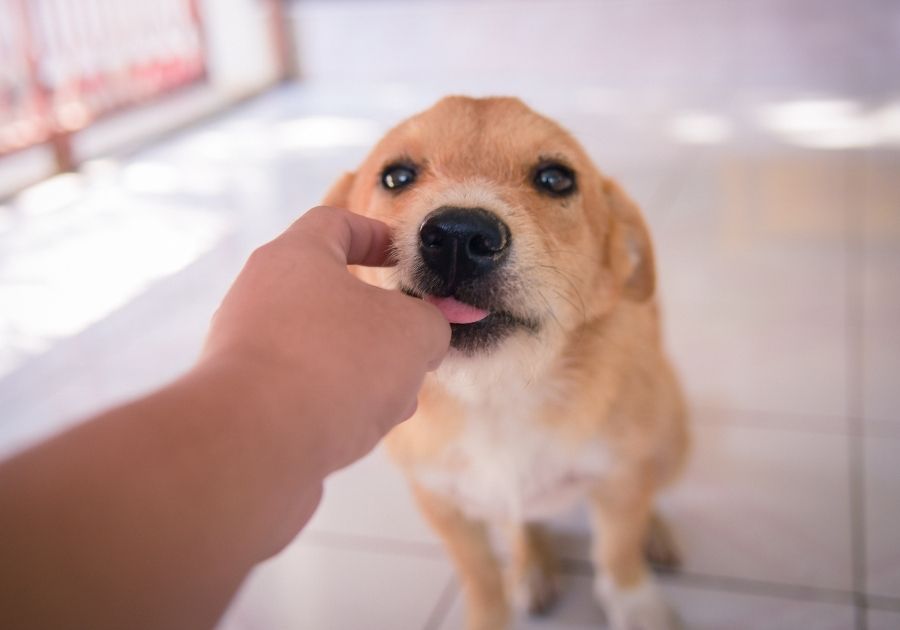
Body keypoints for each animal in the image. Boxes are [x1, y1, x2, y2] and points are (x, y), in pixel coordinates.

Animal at [324, 95, 688, 630]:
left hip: (675, 438)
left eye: (556, 178)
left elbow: (618, 551)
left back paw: (656, 531)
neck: (497, 393)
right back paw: (532, 567)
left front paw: (637, 604)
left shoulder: (619, 475)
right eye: (397, 176)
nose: (459, 236)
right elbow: (479, 574)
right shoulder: (441, 503)